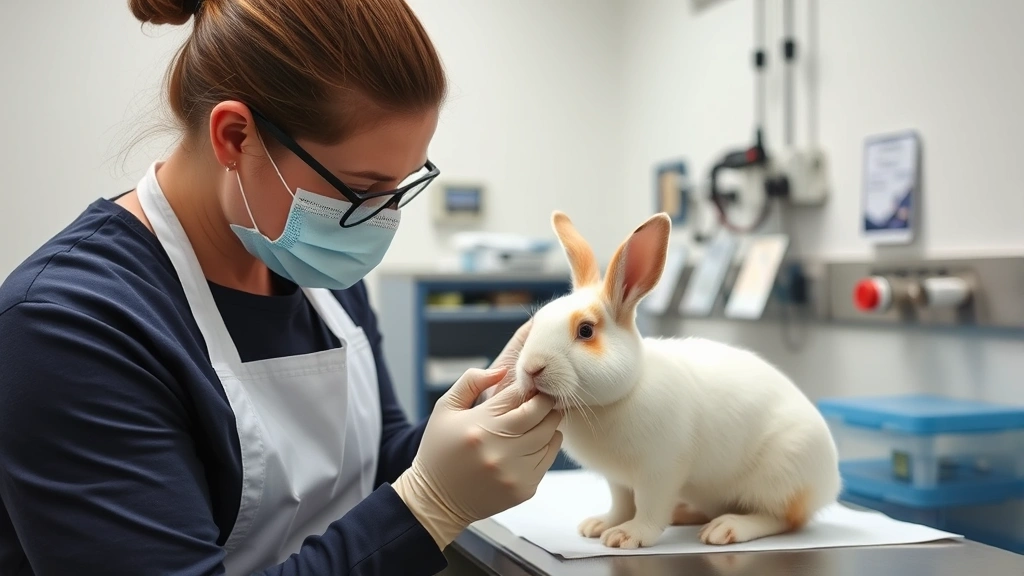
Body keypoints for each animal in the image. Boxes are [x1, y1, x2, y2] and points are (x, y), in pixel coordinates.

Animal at [511, 210, 841, 549]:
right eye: (537, 321)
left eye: (586, 331)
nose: (532, 369)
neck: (624, 394)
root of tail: (830, 482)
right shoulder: (618, 479)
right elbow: (621, 504)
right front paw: (601, 525)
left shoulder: (660, 471)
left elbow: (649, 507)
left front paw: (627, 536)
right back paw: (684, 513)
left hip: (780, 474)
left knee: (783, 519)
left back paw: (725, 528)